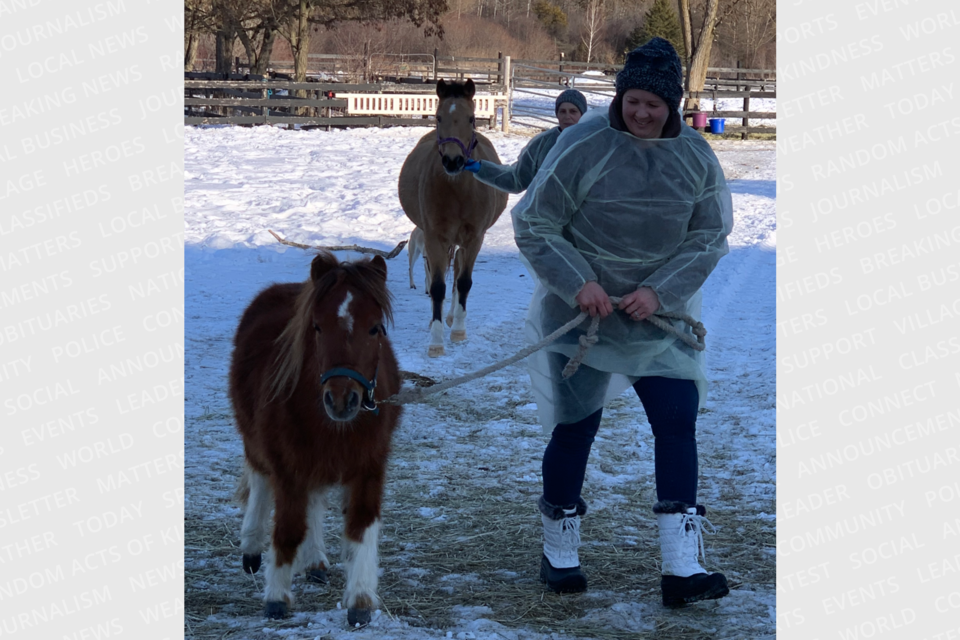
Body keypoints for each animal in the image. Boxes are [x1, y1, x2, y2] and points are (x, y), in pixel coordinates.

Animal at [398, 78, 506, 358]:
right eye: (438, 117)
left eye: (471, 118)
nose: (453, 161)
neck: (458, 191)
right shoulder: (435, 238)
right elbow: (437, 287)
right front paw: (436, 341)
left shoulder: (474, 238)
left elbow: (464, 282)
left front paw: (458, 330)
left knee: (457, 274)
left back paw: (452, 317)